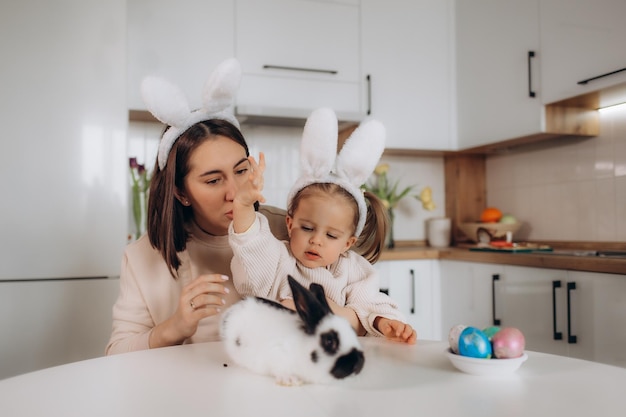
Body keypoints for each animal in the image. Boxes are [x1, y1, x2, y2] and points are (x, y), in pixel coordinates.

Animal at [219, 274, 366, 386]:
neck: (302, 346)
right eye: (329, 341)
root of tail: (230, 311)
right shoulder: (277, 354)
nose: (359, 364)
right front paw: (290, 380)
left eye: (353, 330)